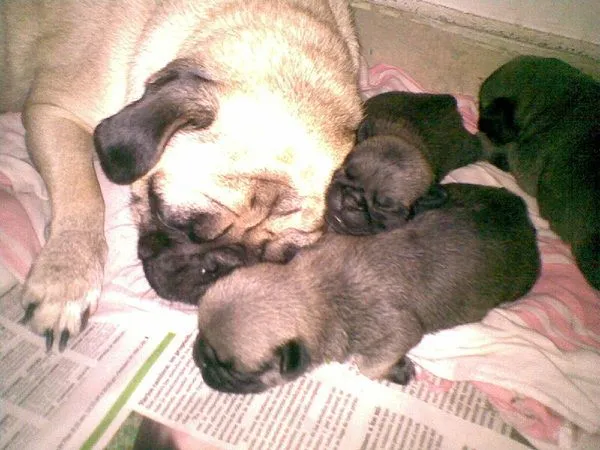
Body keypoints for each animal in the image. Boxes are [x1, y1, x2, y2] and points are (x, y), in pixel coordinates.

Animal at [195, 183, 540, 394]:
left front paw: (397, 370)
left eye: (233, 370)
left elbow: (369, 366)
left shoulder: (399, 331)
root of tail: (522, 215)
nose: (199, 358)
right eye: (200, 335)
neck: (319, 293)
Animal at [328, 90, 482, 234]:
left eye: (384, 206)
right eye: (347, 172)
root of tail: (449, 103)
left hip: (467, 151)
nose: (351, 199)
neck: (405, 136)